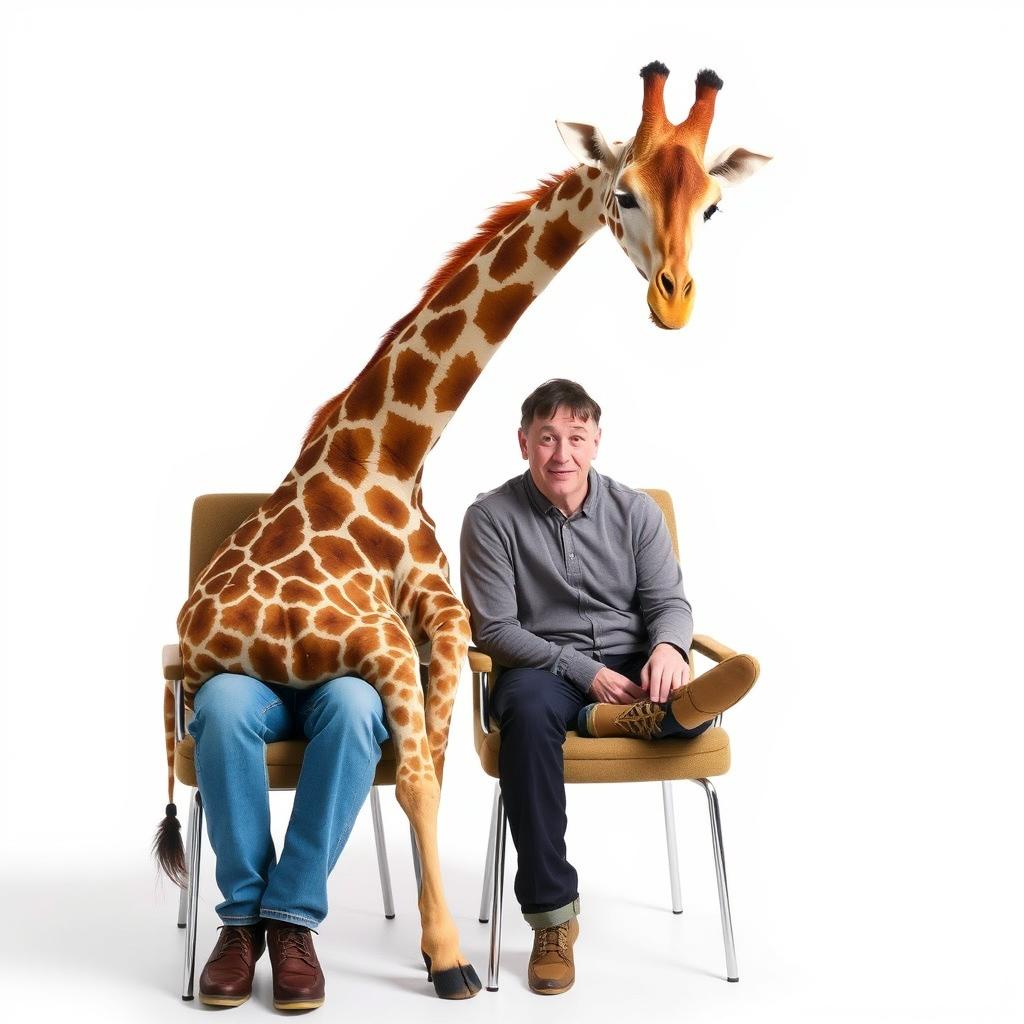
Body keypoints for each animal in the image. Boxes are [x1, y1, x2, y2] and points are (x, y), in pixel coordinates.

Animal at [155, 62, 770, 999]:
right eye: (623, 193)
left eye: (712, 207)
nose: (674, 302)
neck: (387, 455)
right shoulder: (394, 636)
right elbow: (414, 779)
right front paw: (448, 959)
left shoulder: (440, 622)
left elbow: (435, 770)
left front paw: (436, 940)